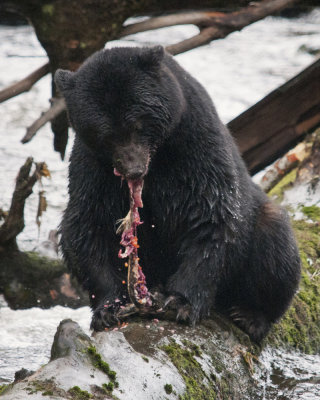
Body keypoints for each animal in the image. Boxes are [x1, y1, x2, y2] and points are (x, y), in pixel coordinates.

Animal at [54, 46, 300, 340]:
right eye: (105, 134)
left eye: (138, 124)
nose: (134, 169)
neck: (159, 157)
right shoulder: (92, 167)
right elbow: (87, 224)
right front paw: (109, 307)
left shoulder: (195, 144)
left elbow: (212, 215)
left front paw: (180, 302)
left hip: (263, 222)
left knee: (275, 247)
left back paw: (250, 316)